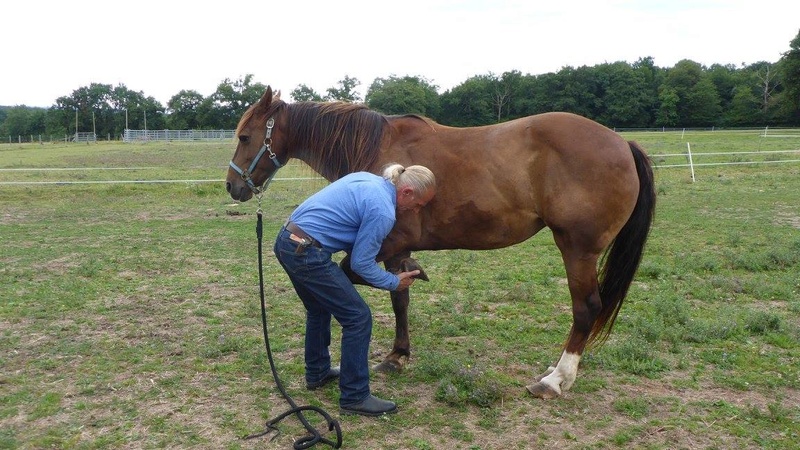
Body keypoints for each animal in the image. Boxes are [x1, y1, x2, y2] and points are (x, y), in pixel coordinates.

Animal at [227, 87, 656, 398]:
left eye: (245, 136)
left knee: (586, 308)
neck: (378, 151)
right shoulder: (396, 249)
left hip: (577, 249)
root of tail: (622, 144)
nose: (233, 186)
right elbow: (399, 297)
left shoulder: (386, 243)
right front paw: (398, 355)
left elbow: (352, 272)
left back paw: (554, 380)